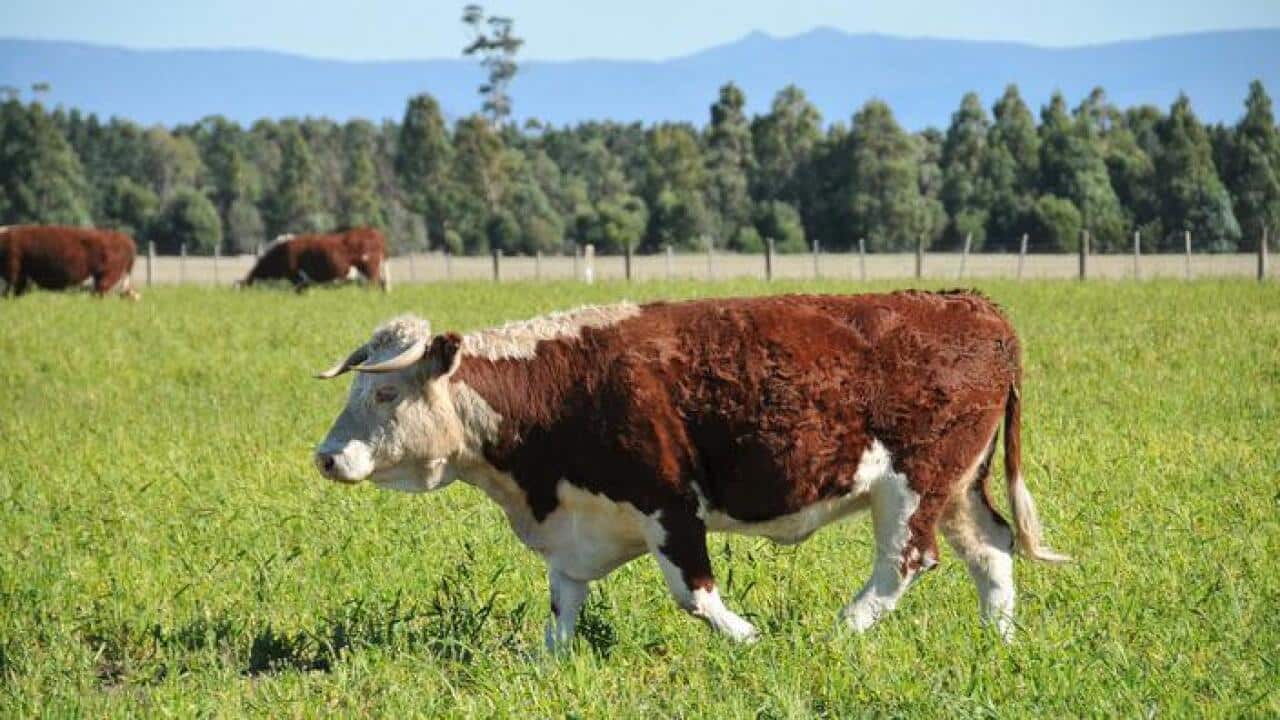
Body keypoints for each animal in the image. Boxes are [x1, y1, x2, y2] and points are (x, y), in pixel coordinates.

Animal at [312, 291, 1068, 649]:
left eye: (385, 393)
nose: (327, 457)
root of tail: (971, 303)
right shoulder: (579, 521)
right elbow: (563, 605)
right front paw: (542, 661)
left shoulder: (669, 505)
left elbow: (693, 594)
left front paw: (751, 639)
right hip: (959, 485)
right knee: (991, 549)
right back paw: (998, 640)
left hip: (914, 483)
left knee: (905, 562)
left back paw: (838, 633)